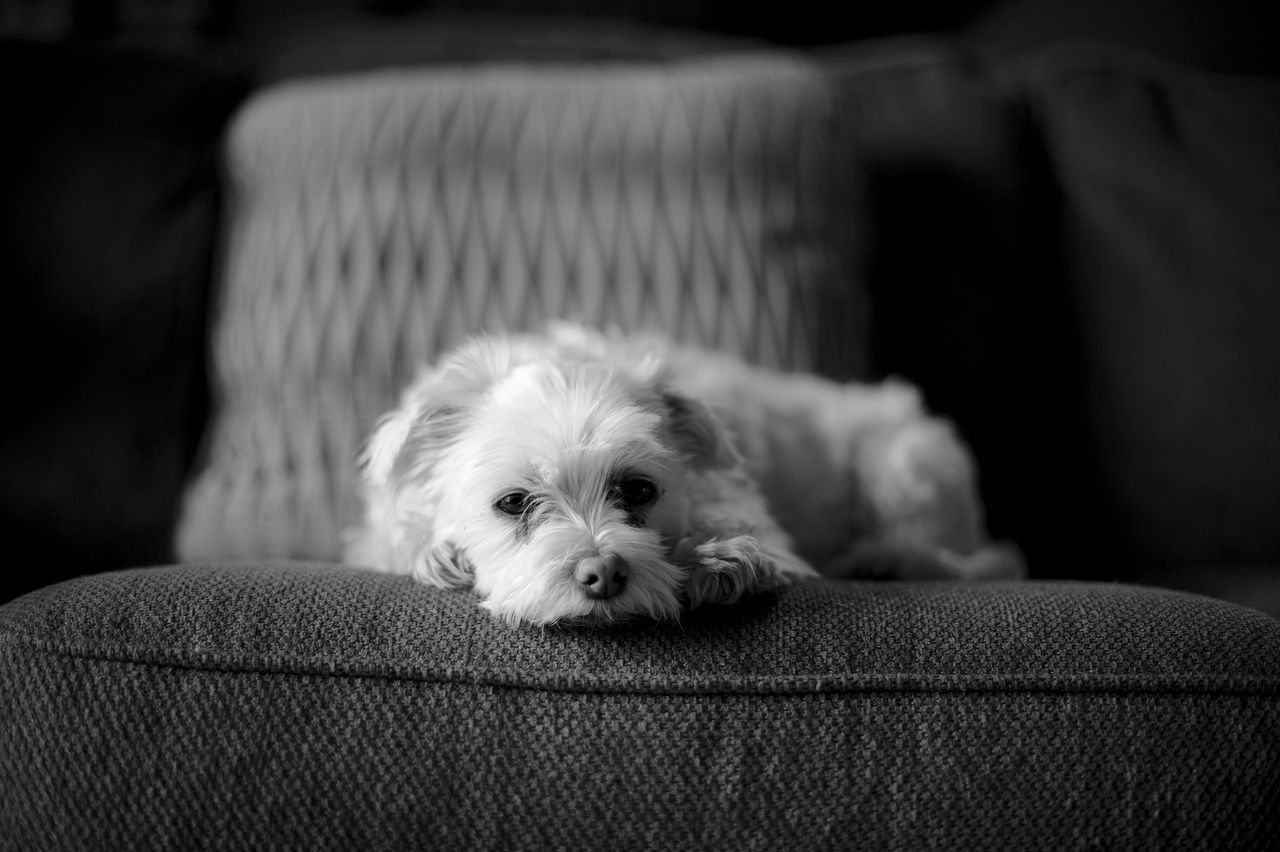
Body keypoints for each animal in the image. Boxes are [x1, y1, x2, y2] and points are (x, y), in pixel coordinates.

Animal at [345, 324, 1024, 624]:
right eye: (513, 503)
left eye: (638, 490)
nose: (603, 573)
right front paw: (438, 555)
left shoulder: (747, 507)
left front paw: (720, 560)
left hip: (906, 463)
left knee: (948, 555)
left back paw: (882, 558)